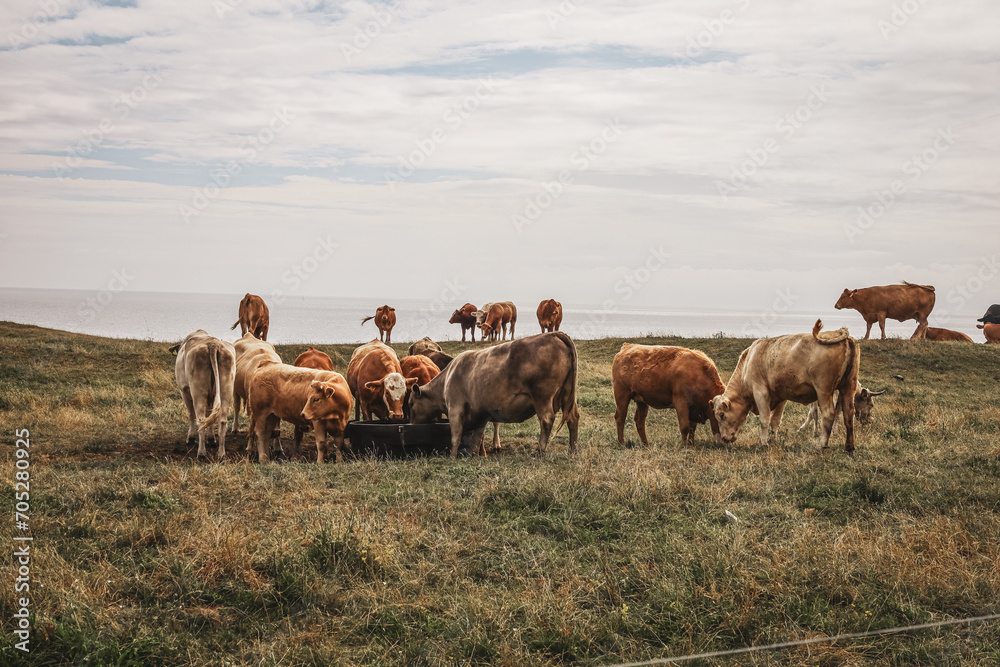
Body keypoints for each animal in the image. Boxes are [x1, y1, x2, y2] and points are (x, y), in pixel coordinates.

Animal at [170, 330, 236, 460]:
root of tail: (213, 344)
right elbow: (210, 414)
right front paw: (211, 438)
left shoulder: (184, 390)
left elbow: (191, 414)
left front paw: (190, 438)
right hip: (225, 392)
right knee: (222, 421)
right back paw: (221, 454)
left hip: (198, 392)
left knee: (200, 419)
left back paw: (201, 453)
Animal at [409, 331, 580, 458]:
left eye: (410, 403)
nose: (410, 424)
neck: (447, 378)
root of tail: (554, 334)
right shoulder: (479, 414)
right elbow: (476, 438)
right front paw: (473, 455)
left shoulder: (455, 408)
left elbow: (455, 436)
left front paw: (452, 457)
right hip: (567, 394)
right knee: (572, 418)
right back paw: (572, 450)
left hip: (542, 397)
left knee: (546, 419)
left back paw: (539, 451)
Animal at [711, 320, 860, 454]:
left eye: (722, 415)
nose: (724, 438)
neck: (748, 361)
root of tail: (839, 332)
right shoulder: (780, 396)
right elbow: (775, 420)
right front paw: (772, 440)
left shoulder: (760, 392)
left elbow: (765, 419)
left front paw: (763, 443)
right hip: (848, 386)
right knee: (848, 414)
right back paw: (849, 447)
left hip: (824, 390)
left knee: (828, 415)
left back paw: (821, 445)